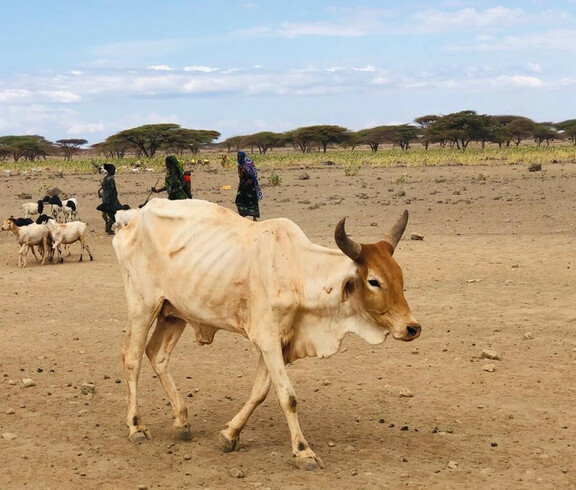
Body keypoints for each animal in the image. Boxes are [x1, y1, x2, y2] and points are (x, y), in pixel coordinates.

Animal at [112, 199, 420, 470]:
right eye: (374, 281)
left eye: (400, 277)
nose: (412, 327)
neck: (296, 272)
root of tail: (133, 217)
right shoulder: (268, 340)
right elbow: (288, 397)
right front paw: (303, 452)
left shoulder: (280, 344)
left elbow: (259, 392)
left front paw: (229, 435)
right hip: (143, 306)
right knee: (132, 358)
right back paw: (136, 426)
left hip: (173, 313)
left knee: (157, 355)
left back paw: (181, 421)